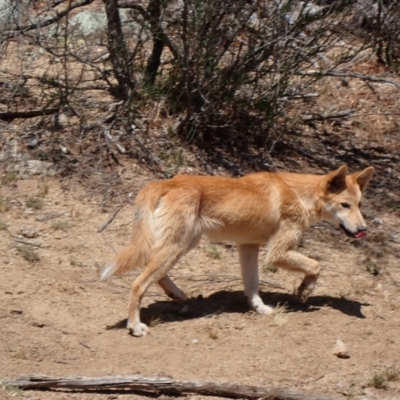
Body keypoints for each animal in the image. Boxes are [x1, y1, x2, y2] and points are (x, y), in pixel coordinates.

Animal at [101, 164, 374, 336]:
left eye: (360, 205)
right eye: (345, 205)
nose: (363, 229)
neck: (300, 194)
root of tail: (167, 181)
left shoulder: (248, 247)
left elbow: (252, 285)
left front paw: (259, 308)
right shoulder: (276, 252)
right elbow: (316, 266)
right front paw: (305, 289)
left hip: (182, 243)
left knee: (152, 271)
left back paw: (175, 293)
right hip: (178, 245)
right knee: (138, 283)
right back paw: (135, 326)